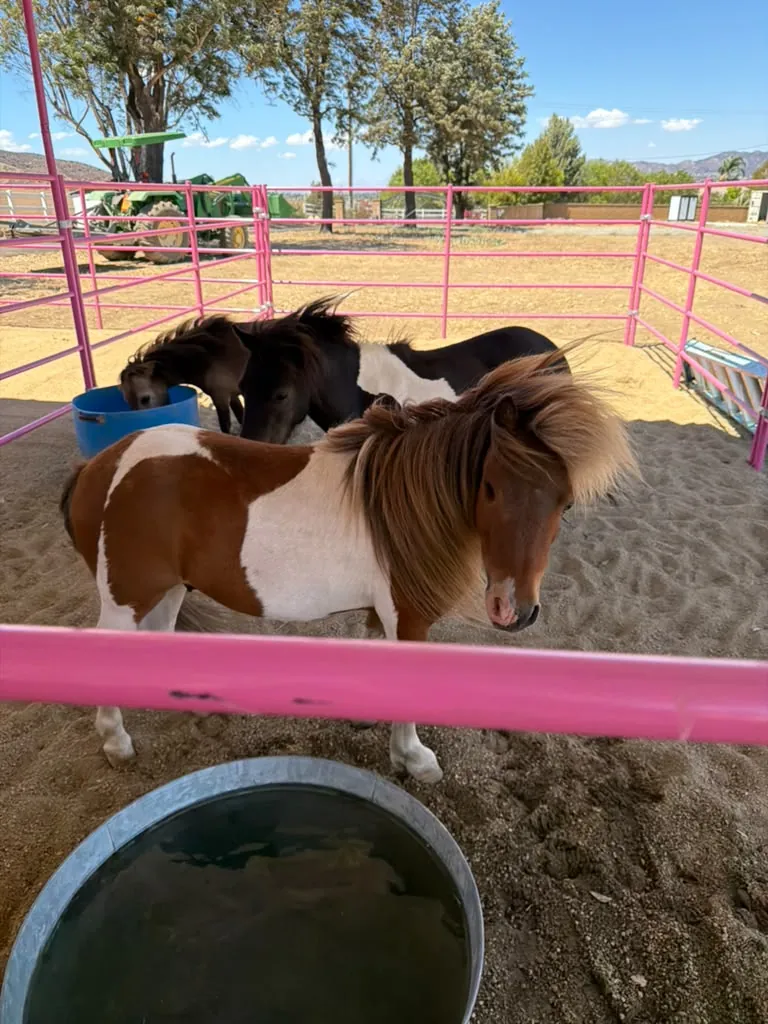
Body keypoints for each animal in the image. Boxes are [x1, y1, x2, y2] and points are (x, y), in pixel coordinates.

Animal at [61, 349, 634, 780]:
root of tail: (100, 467)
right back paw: (117, 743)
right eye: (490, 488)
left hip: (168, 589)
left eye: (565, 502)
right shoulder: (409, 616)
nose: (515, 608)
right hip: (128, 597)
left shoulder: (383, 613)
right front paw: (415, 760)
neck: (399, 501)